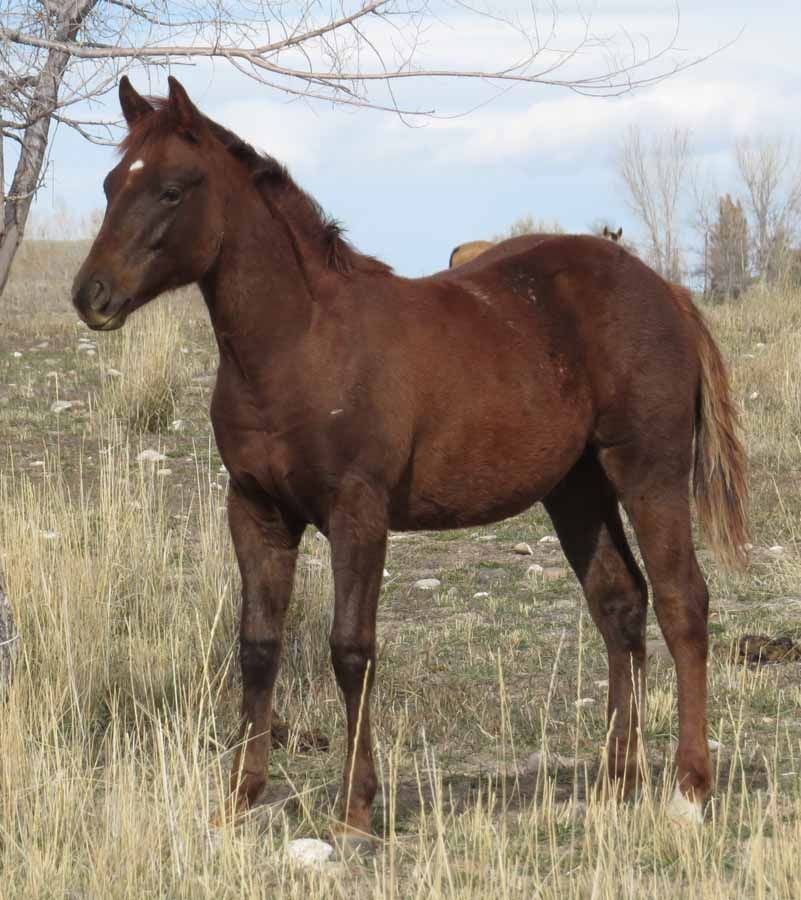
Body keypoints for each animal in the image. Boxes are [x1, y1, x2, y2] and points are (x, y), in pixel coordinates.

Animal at [72, 76, 748, 843]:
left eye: (171, 190)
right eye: (109, 184)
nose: (91, 295)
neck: (301, 344)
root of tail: (666, 290)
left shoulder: (357, 512)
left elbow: (350, 649)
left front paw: (355, 811)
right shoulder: (255, 510)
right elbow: (257, 647)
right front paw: (238, 799)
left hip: (649, 471)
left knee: (681, 601)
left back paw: (689, 790)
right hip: (576, 489)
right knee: (619, 602)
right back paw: (616, 782)